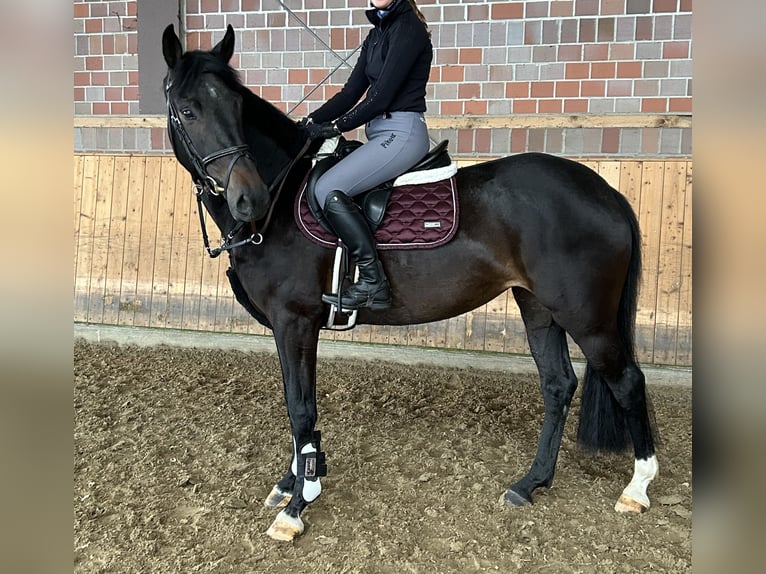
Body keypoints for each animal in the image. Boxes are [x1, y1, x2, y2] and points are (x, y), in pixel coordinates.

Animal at [162, 23, 660, 544]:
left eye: (237, 108)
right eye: (188, 110)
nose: (248, 199)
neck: (280, 201)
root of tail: (605, 191)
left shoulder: (294, 321)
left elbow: (301, 409)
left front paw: (297, 506)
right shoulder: (294, 327)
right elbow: (299, 405)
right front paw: (294, 480)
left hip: (587, 317)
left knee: (627, 381)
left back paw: (637, 488)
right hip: (539, 307)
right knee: (558, 384)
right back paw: (531, 482)